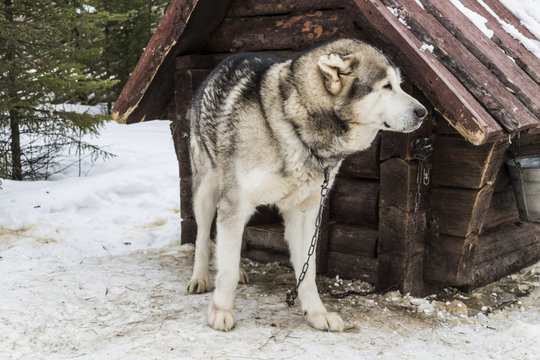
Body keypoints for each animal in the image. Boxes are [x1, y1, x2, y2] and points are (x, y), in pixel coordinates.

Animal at [186, 38, 426, 332]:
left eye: (400, 85)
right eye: (386, 86)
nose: (423, 112)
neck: (296, 130)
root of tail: (221, 65)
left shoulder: (304, 214)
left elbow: (308, 273)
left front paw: (316, 313)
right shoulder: (235, 204)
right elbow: (226, 271)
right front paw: (221, 311)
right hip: (207, 192)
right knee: (202, 236)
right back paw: (200, 277)